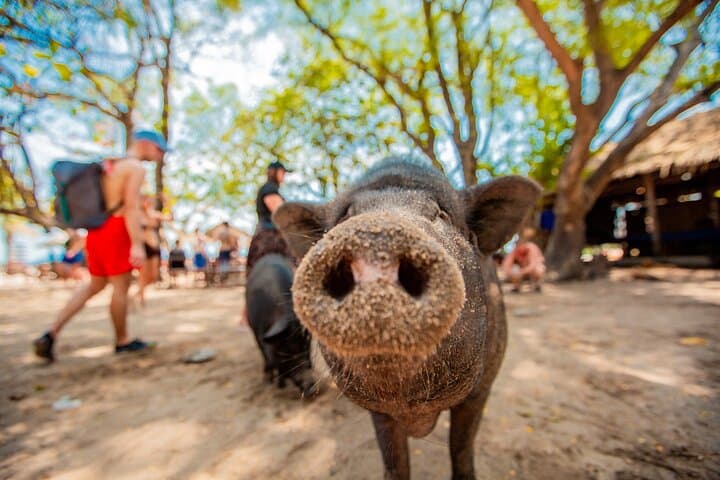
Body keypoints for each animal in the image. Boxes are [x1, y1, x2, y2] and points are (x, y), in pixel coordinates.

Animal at [244, 254, 316, 398]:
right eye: (286, 353)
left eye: (307, 347)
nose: (312, 388)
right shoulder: (257, 333)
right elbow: (268, 358)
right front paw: (271, 383)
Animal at [273, 156, 541, 479]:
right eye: (345, 217)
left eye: (441, 214)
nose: (376, 236)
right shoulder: (379, 412)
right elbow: (394, 461)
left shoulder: (482, 389)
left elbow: (461, 447)